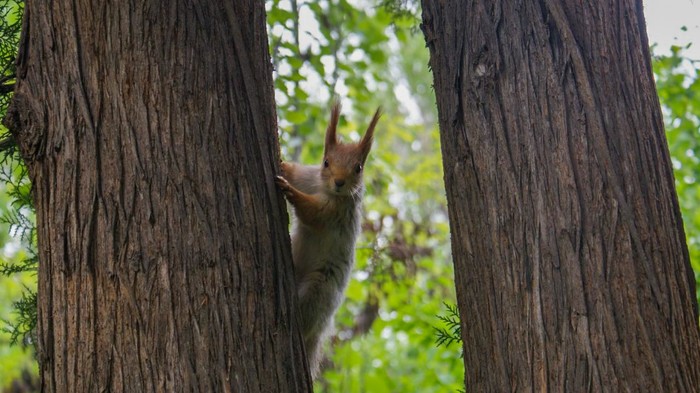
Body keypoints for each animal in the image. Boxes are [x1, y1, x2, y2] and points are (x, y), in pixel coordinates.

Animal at [274, 102, 382, 378]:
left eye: (358, 168)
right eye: (325, 162)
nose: (339, 182)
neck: (324, 189)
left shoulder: (335, 213)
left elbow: (312, 213)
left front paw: (291, 192)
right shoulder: (308, 176)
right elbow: (294, 172)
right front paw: (282, 162)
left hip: (319, 289)